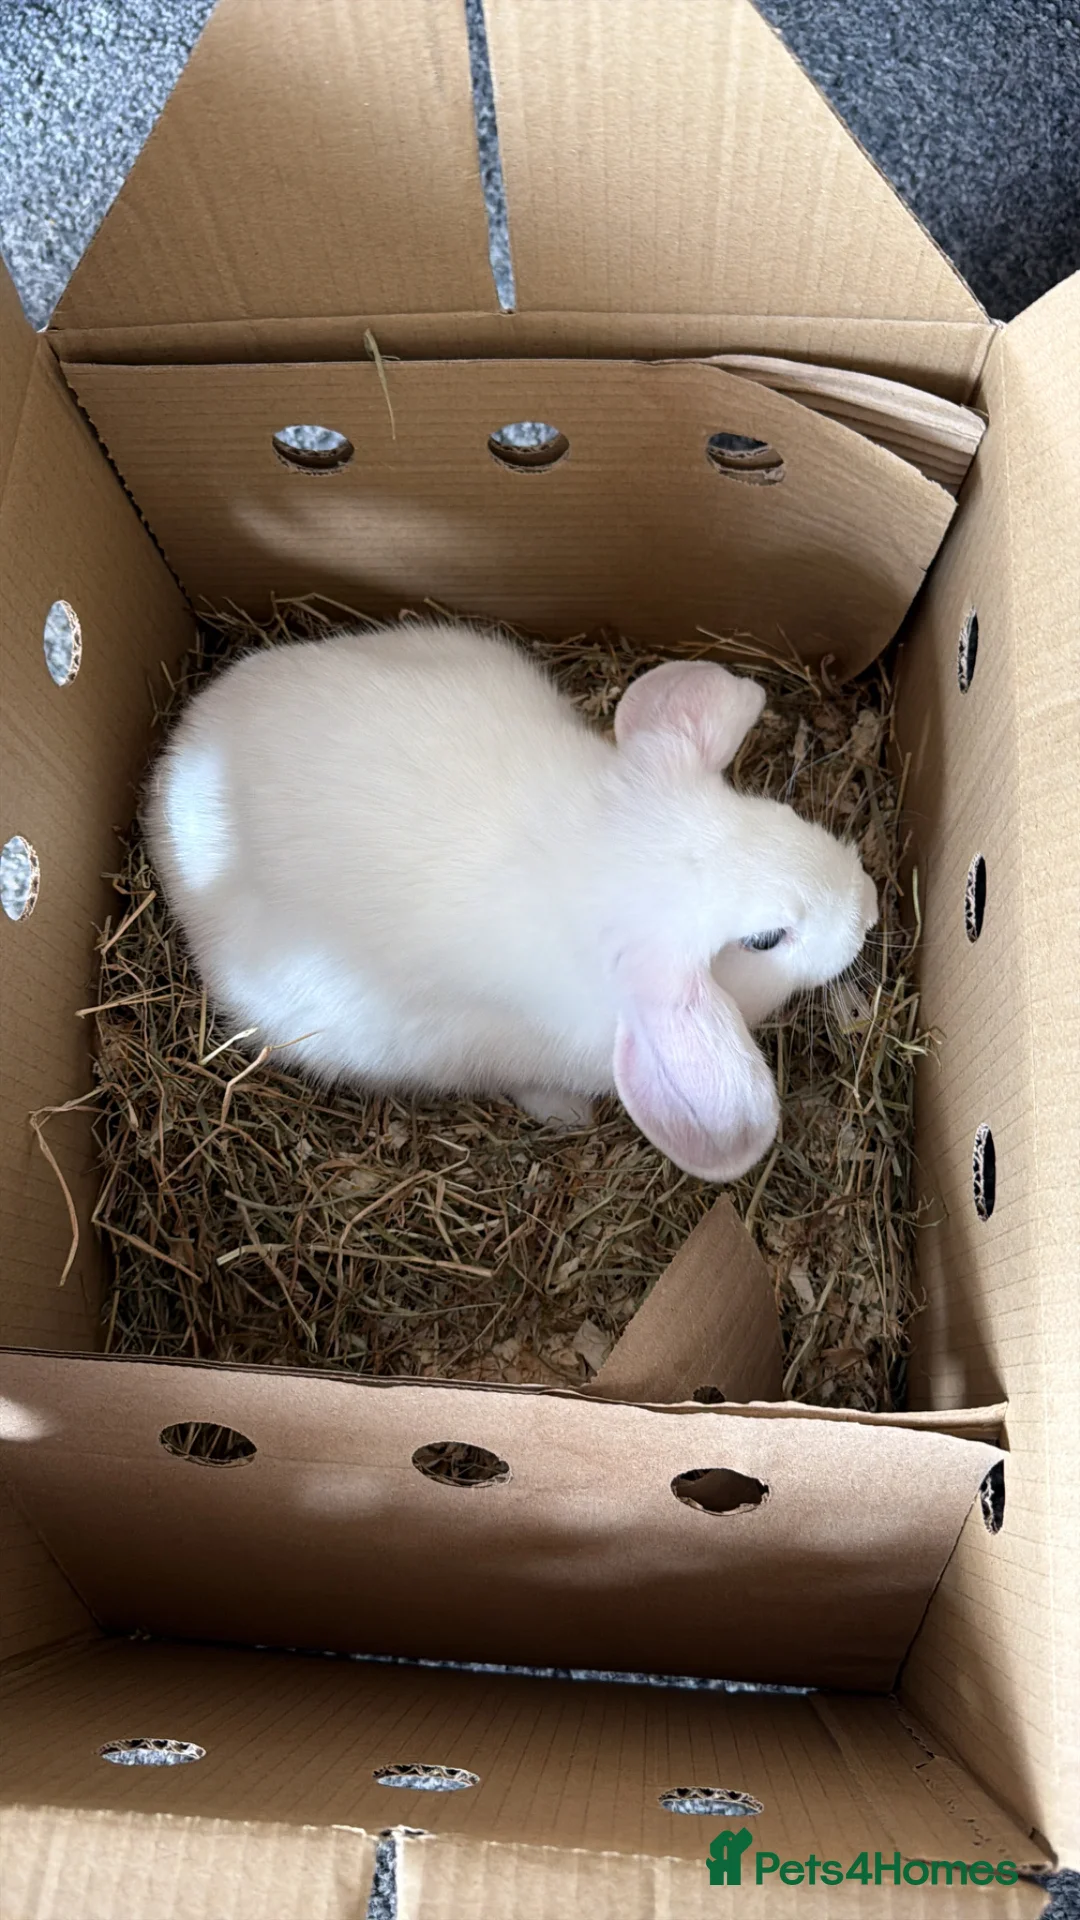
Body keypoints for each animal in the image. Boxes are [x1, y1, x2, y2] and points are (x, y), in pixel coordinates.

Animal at [145, 621, 878, 1183]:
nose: (869, 907)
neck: (602, 865)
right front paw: (566, 1114)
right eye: (764, 940)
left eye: (782, 812)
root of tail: (173, 770)